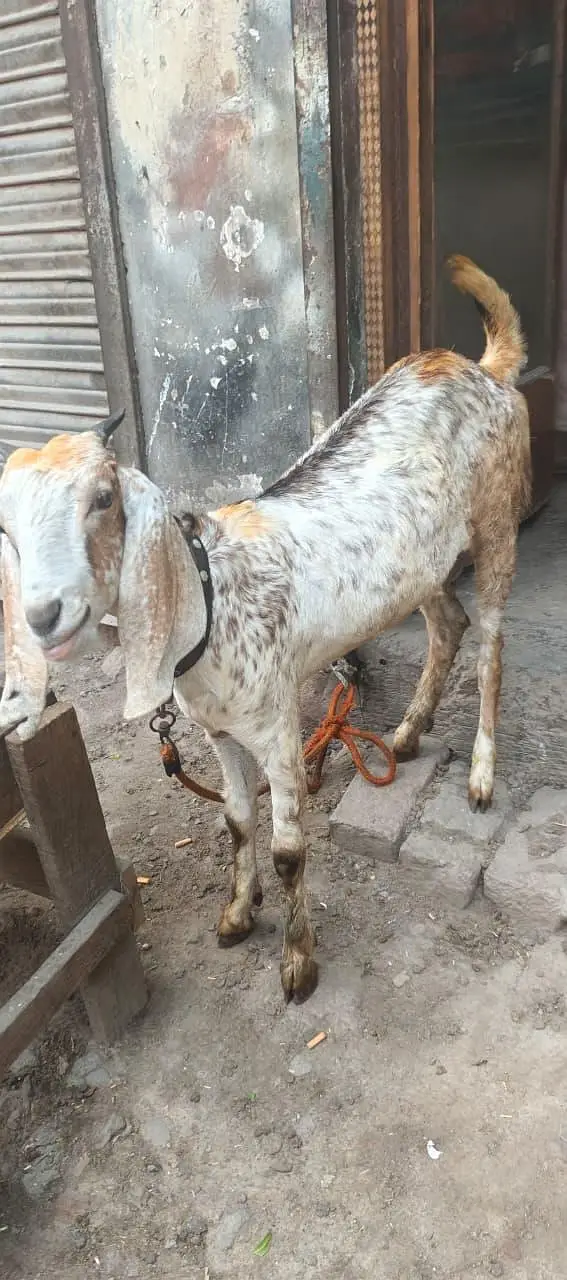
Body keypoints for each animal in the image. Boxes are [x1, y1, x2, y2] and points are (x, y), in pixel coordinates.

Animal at [0, 256, 530, 1003]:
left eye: (102, 498)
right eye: (8, 526)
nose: (44, 615)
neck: (210, 600)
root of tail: (480, 367)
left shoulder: (278, 725)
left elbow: (286, 851)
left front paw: (298, 963)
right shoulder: (219, 732)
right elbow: (233, 818)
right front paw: (235, 913)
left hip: (496, 523)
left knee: (491, 645)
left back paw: (481, 775)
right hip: (420, 566)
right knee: (446, 625)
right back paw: (405, 732)